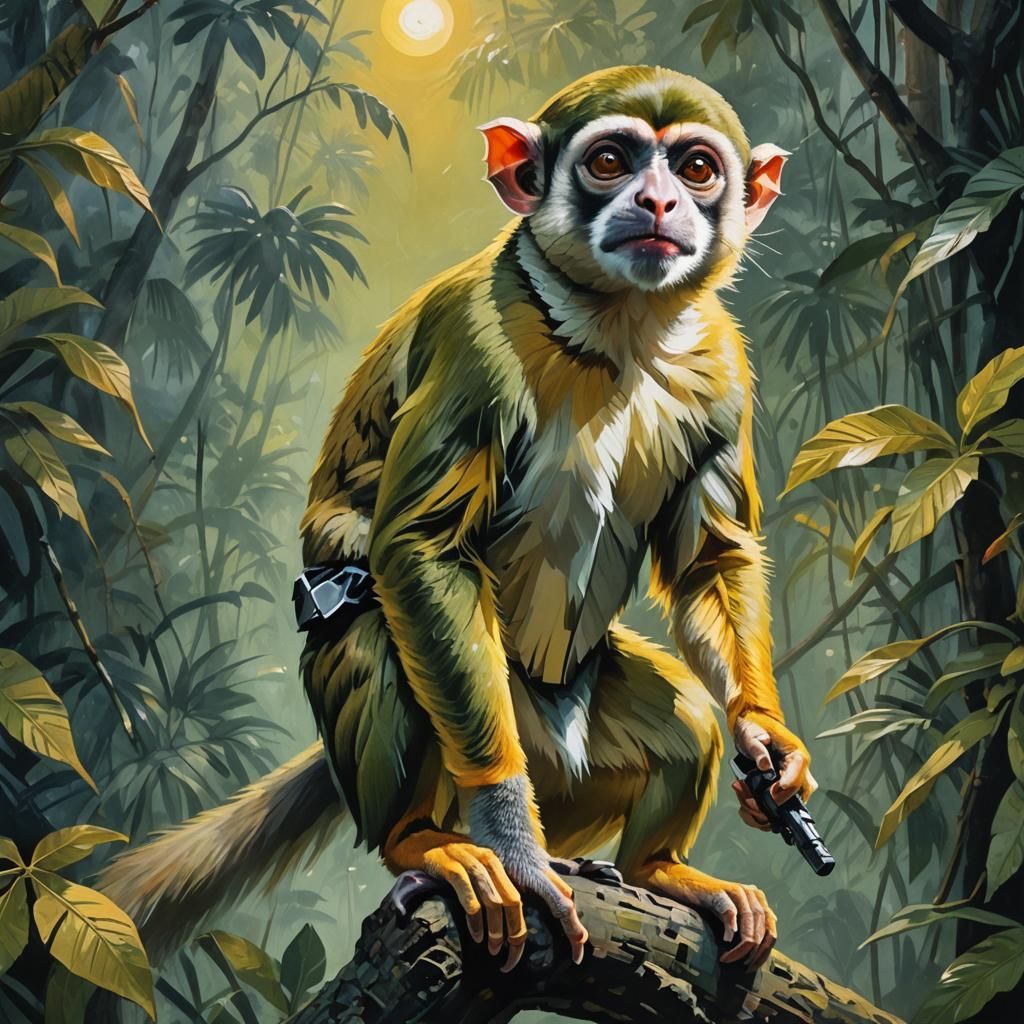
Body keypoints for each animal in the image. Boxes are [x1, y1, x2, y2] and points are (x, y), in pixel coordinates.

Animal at [101, 65, 816, 974]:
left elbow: (709, 558)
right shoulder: (475, 342)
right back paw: (427, 841)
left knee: (684, 713)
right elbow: (420, 549)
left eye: (696, 169)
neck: (616, 325)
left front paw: (770, 744)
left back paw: (657, 868)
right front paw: (511, 846)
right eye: (610, 161)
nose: (658, 203)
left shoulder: (723, 357)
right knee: (371, 621)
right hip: (473, 729)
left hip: (571, 764)